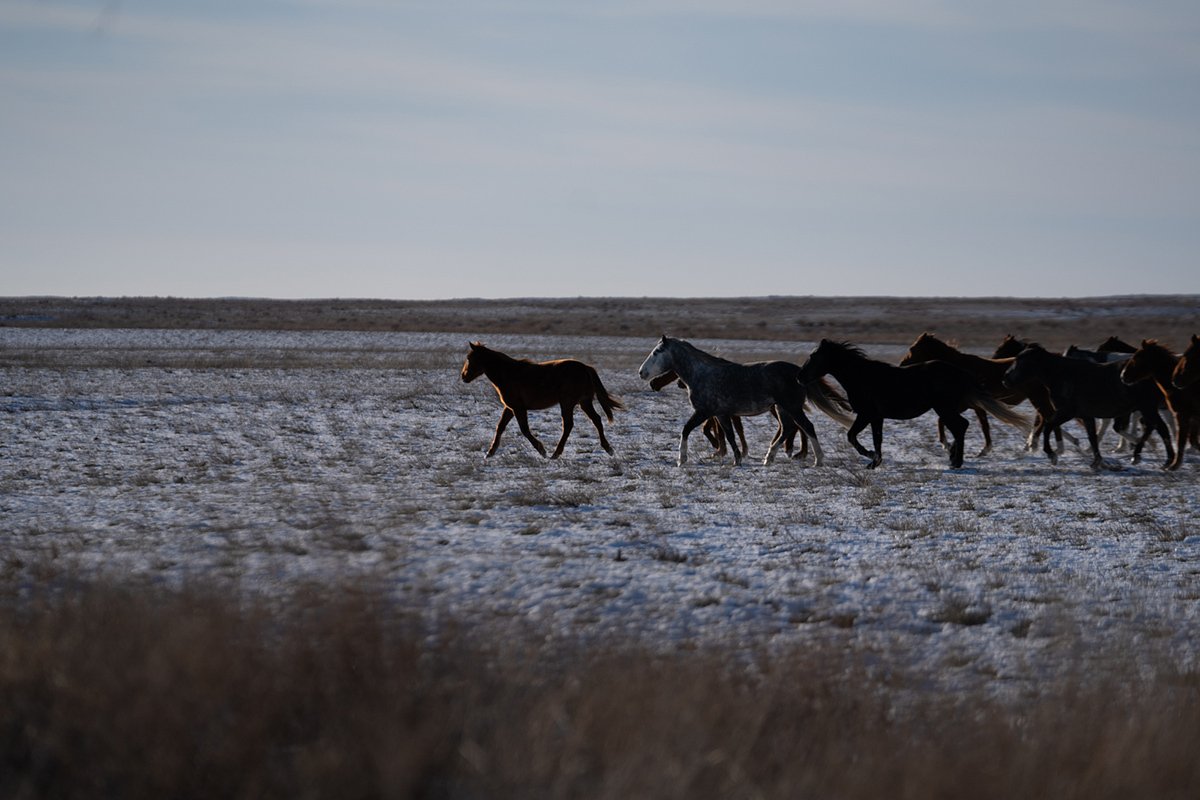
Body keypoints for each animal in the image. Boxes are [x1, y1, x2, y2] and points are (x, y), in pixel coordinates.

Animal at [458, 340, 624, 460]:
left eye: (469, 358)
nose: (463, 376)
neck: (508, 373)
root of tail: (585, 367)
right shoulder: (510, 408)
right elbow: (500, 427)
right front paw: (490, 452)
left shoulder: (519, 408)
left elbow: (524, 430)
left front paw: (542, 450)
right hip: (584, 402)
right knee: (596, 420)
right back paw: (608, 448)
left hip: (568, 403)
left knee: (568, 425)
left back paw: (555, 454)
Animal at [633, 335, 849, 465]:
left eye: (656, 352)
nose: (642, 372)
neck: (701, 374)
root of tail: (798, 372)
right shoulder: (721, 414)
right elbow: (729, 435)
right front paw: (737, 459)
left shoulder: (703, 412)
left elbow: (685, 430)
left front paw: (681, 459)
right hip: (782, 408)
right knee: (788, 429)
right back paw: (768, 458)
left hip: (792, 407)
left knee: (806, 427)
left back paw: (818, 460)